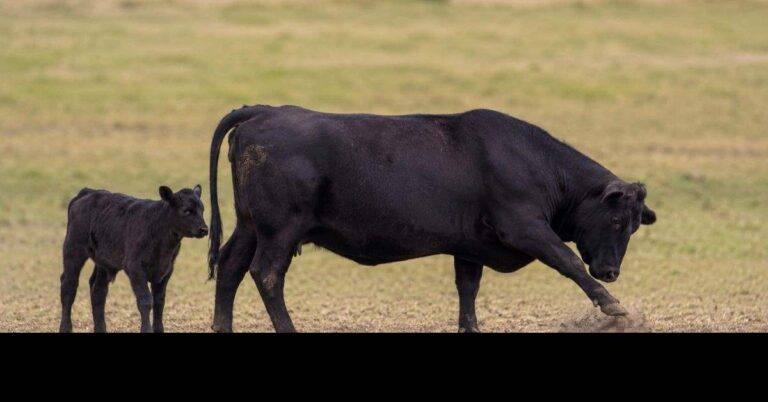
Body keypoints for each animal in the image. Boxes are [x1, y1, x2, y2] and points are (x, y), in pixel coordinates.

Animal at [59, 185, 208, 333]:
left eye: (202, 210)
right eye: (186, 210)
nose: (204, 229)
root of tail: (88, 191)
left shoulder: (167, 269)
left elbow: (159, 301)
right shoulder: (135, 268)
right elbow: (146, 300)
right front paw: (146, 329)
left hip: (103, 261)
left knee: (98, 290)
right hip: (73, 249)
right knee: (69, 286)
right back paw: (65, 327)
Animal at [207, 105, 656, 333]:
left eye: (635, 226)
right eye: (618, 222)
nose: (612, 271)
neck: (532, 162)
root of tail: (266, 112)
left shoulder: (470, 246)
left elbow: (468, 289)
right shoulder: (525, 227)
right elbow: (568, 261)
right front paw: (613, 305)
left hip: (250, 226)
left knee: (230, 267)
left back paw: (222, 327)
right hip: (279, 230)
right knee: (266, 275)